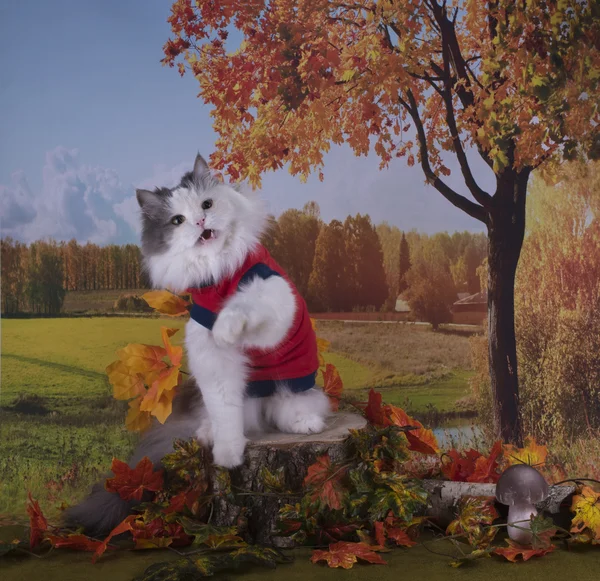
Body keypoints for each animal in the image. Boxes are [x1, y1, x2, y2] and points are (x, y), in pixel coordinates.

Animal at [63, 153, 330, 536]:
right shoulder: (210, 356)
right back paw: (208, 433)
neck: (217, 272)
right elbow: (226, 414)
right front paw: (228, 456)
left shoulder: (271, 296)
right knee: (228, 416)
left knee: (293, 408)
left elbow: (242, 308)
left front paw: (227, 328)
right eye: (178, 220)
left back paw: (303, 423)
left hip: (293, 387)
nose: (201, 221)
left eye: (206, 204)